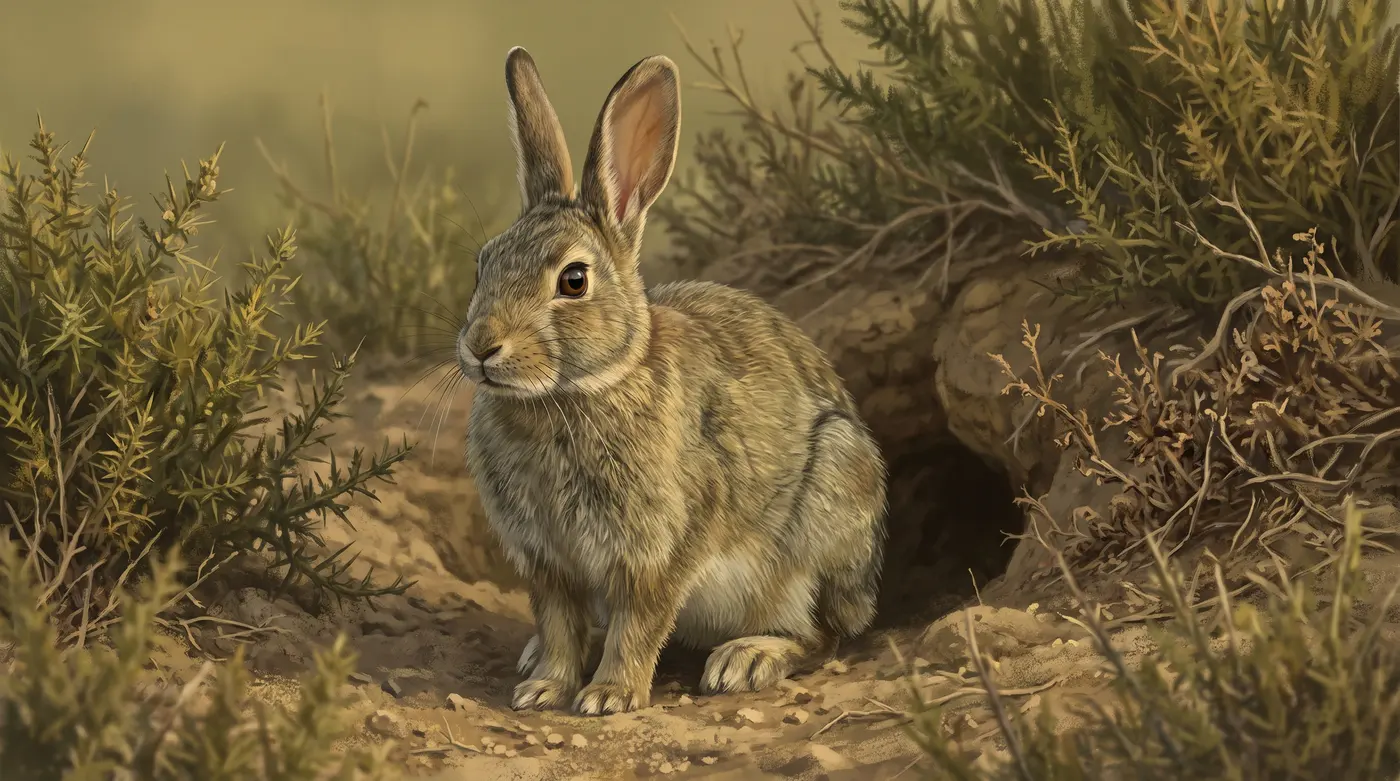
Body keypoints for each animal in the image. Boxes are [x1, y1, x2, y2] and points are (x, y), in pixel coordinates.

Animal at [457, 46, 888, 716]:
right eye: (482, 266)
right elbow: (557, 625)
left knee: (822, 634)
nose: (480, 348)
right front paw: (544, 687)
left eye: (573, 281)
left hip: (826, 507)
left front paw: (609, 696)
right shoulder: (548, 563)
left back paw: (746, 659)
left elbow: (641, 623)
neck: (574, 392)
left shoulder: (661, 549)